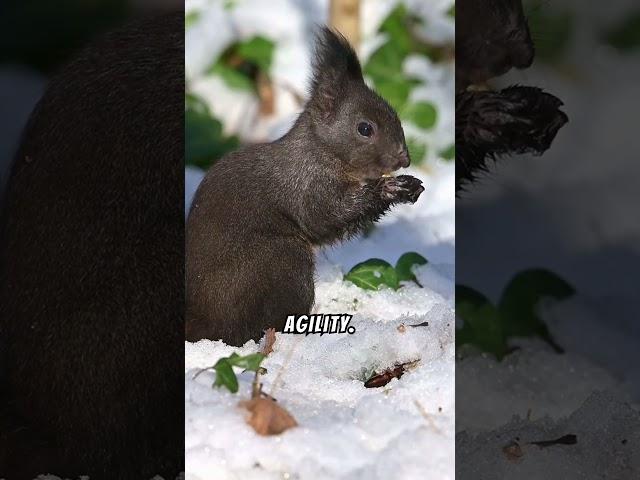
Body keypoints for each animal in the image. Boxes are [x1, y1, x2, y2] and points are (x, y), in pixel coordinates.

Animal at [185, 28, 424, 344]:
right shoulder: (308, 187)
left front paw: (409, 186)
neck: (321, 152)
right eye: (365, 128)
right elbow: (324, 217)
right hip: (283, 261)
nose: (404, 159)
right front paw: (390, 189)